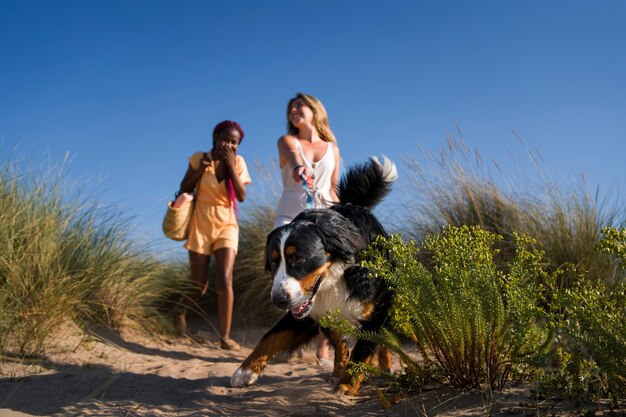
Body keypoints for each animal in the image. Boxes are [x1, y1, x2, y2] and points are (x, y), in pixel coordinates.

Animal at [229, 155, 394, 394]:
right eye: (273, 262)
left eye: (298, 259)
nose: (278, 301)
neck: (335, 278)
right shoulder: (305, 311)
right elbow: (270, 336)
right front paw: (245, 371)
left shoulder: (378, 309)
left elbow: (364, 350)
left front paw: (348, 384)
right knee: (340, 345)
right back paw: (337, 373)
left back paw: (385, 369)